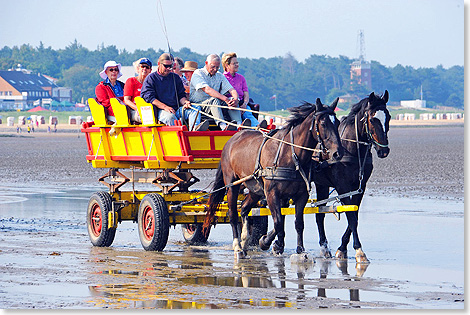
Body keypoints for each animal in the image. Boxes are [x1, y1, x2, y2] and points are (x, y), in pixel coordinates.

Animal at [204, 99, 344, 260]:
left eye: (337, 122)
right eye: (323, 123)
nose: (338, 153)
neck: (290, 155)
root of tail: (231, 140)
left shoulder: (301, 195)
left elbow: (298, 223)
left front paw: (300, 250)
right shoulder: (272, 193)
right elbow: (278, 223)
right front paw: (268, 242)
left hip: (255, 188)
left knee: (244, 208)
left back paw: (245, 241)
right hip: (232, 184)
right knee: (233, 214)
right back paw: (238, 247)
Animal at [312, 91, 390, 264]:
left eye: (388, 117)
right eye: (372, 119)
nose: (384, 151)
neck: (352, 149)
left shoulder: (360, 187)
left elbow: (355, 214)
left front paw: (342, 248)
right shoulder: (343, 186)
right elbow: (351, 216)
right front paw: (359, 251)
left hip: (322, 184)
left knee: (319, 215)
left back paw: (324, 247)